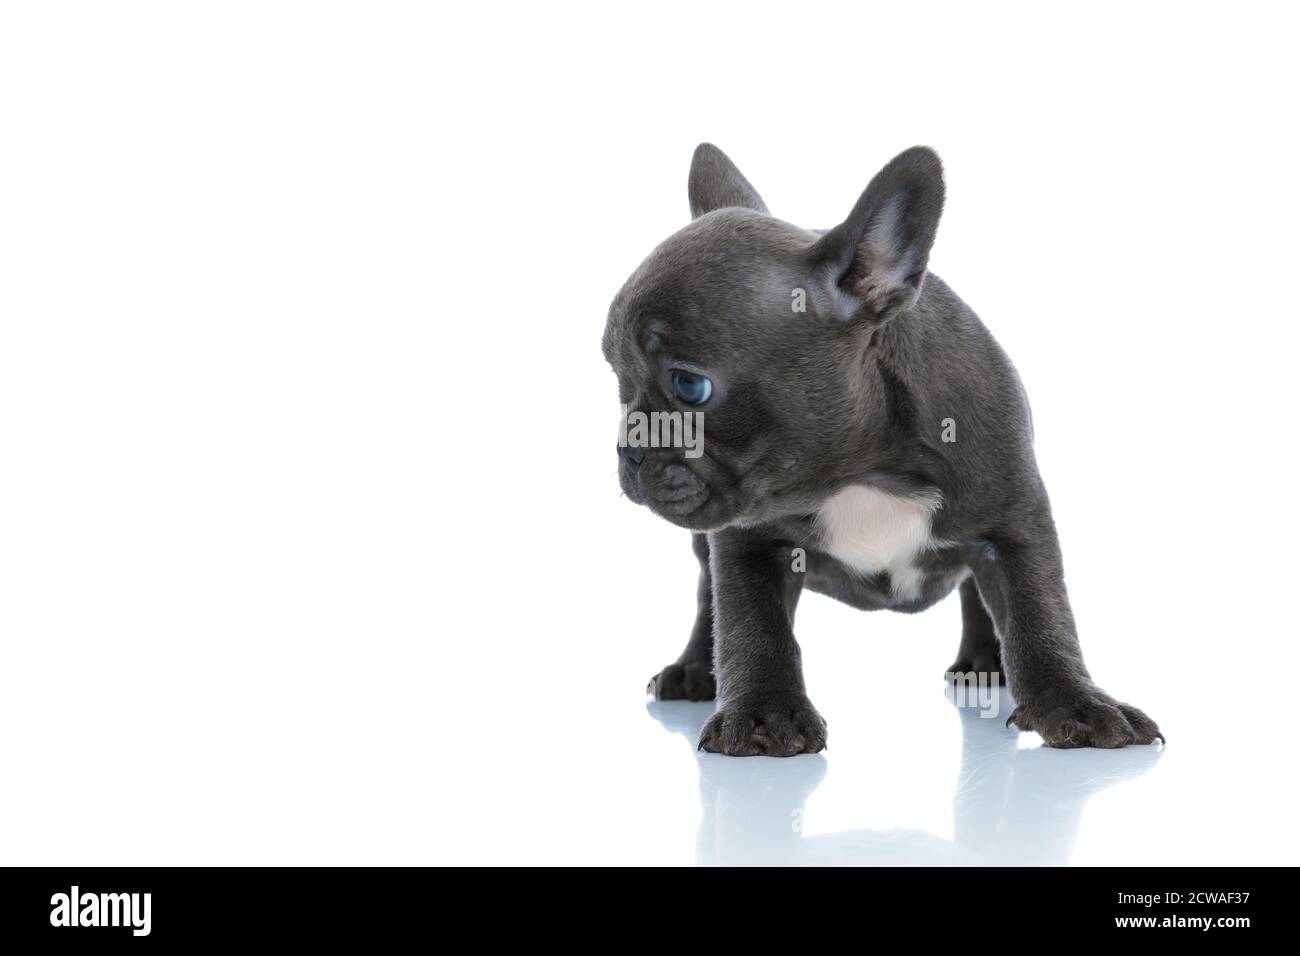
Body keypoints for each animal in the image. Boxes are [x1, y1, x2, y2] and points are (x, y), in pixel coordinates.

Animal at [603, 143, 1164, 754]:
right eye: (616, 378)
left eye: (690, 386)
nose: (629, 448)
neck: (866, 471)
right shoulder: (747, 543)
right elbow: (750, 625)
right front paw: (762, 714)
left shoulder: (1013, 522)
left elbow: (1039, 612)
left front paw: (1075, 703)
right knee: (709, 597)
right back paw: (694, 670)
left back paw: (984, 662)